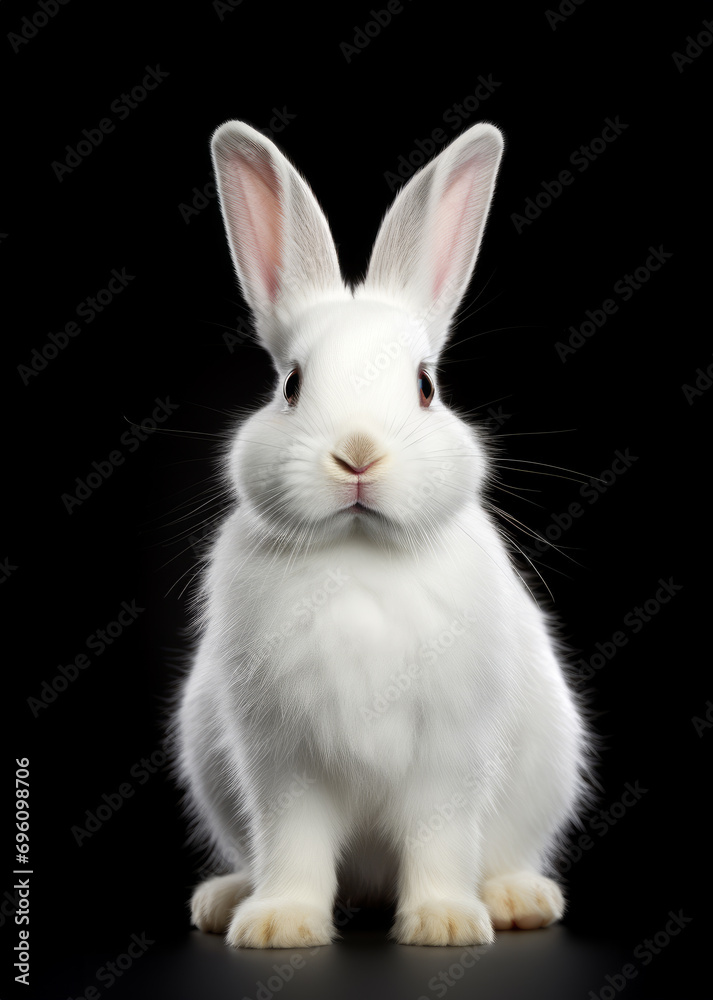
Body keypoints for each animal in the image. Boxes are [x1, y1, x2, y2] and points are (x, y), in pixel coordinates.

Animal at [173, 117, 593, 949]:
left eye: (425, 387)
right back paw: (224, 901)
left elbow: (438, 839)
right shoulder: (283, 760)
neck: (357, 556)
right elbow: (293, 843)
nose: (358, 454)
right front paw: (280, 925)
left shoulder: (448, 756)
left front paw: (443, 924)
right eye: (291, 385)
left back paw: (514, 900)